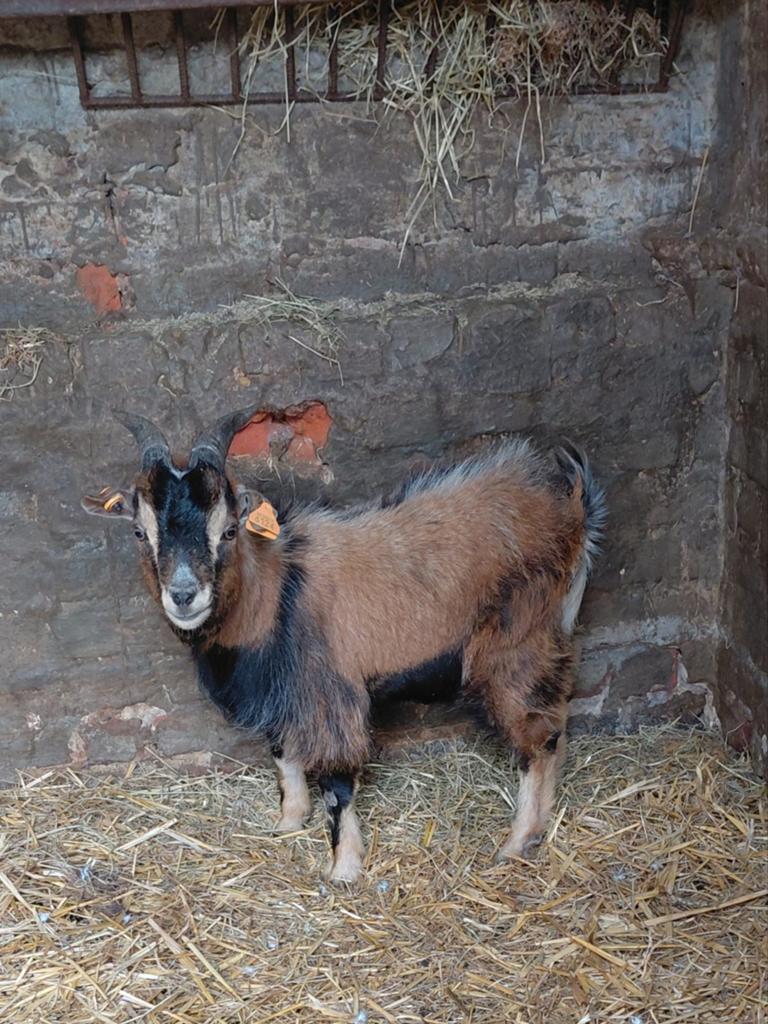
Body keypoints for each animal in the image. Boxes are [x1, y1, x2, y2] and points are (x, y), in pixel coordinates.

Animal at [82, 406, 605, 882]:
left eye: (228, 529)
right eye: (139, 532)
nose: (184, 595)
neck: (276, 591)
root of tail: (573, 507)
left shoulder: (328, 695)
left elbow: (336, 785)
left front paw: (343, 868)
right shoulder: (282, 694)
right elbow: (284, 757)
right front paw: (288, 823)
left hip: (516, 644)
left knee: (537, 737)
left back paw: (516, 843)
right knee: (556, 723)